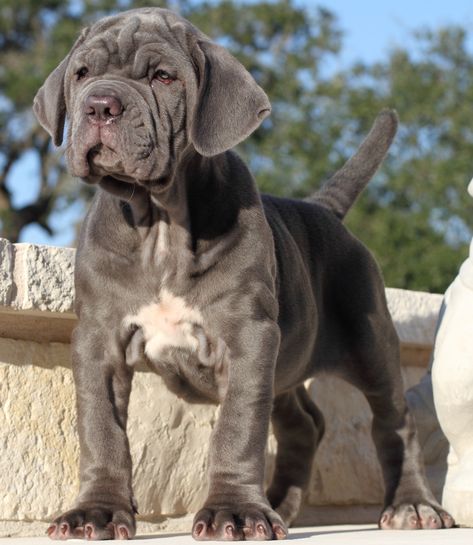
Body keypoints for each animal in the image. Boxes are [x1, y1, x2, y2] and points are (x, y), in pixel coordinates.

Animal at [33, 5, 454, 540]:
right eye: (82, 74)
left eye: (162, 76)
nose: (101, 105)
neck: (161, 222)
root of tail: (323, 210)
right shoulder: (99, 338)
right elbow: (101, 427)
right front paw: (97, 512)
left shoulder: (248, 336)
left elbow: (238, 426)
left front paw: (232, 510)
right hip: (290, 357)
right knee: (304, 422)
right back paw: (281, 503)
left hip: (370, 340)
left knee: (395, 421)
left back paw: (412, 505)